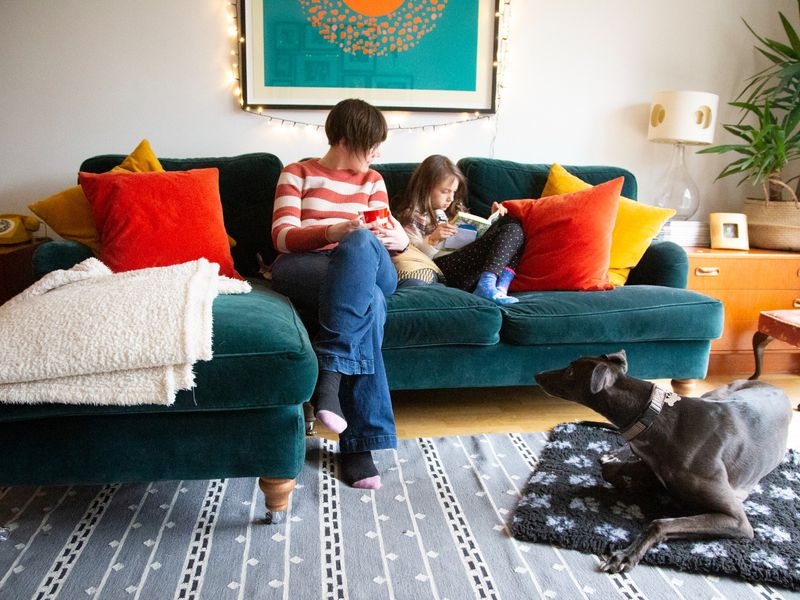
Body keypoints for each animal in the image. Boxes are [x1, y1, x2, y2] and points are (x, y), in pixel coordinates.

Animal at [536, 350, 792, 576]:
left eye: (570, 371)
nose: (537, 375)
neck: (654, 418)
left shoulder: (737, 520)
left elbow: (659, 523)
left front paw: (626, 555)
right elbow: (611, 471)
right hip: (716, 393)